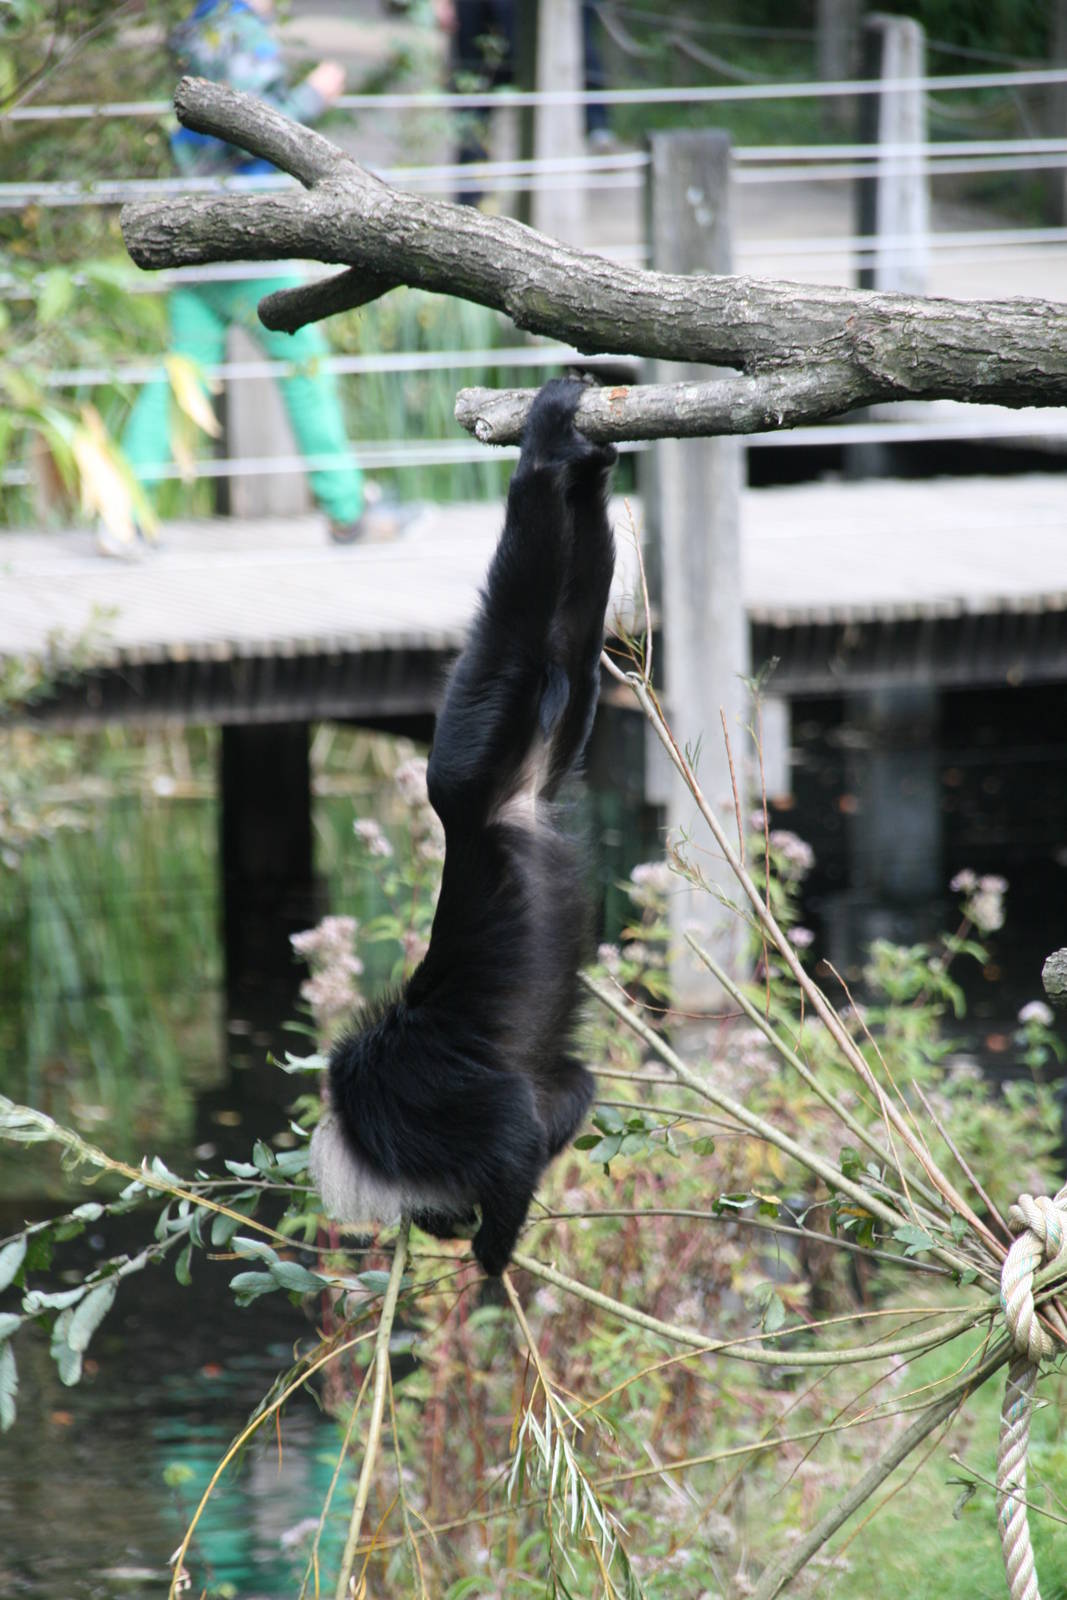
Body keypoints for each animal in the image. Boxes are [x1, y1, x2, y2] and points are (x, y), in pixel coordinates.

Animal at [309, 377, 617, 1275]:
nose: (441, 1223)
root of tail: (502, 811)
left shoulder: (403, 1098)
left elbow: (510, 1126)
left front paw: (489, 1256)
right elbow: (563, 1095)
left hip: (469, 756)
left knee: (512, 617)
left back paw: (543, 453)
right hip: (538, 745)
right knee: (568, 646)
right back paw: (587, 469)